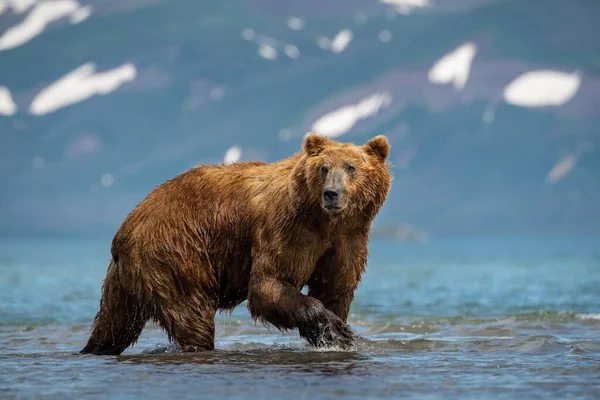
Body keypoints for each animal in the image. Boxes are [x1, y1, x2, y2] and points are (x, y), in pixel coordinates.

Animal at [79, 133, 392, 354]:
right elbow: (269, 284)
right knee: (191, 314)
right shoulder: (287, 228)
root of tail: (125, 229)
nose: (331, 194)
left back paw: (93, 349)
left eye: (351, 167)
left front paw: (334, 332)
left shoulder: (348, 238)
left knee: (113, 324)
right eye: (324, 168)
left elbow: (335, 288)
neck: (324, 220)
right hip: (174, 252)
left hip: (123, 282)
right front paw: (336, 330)